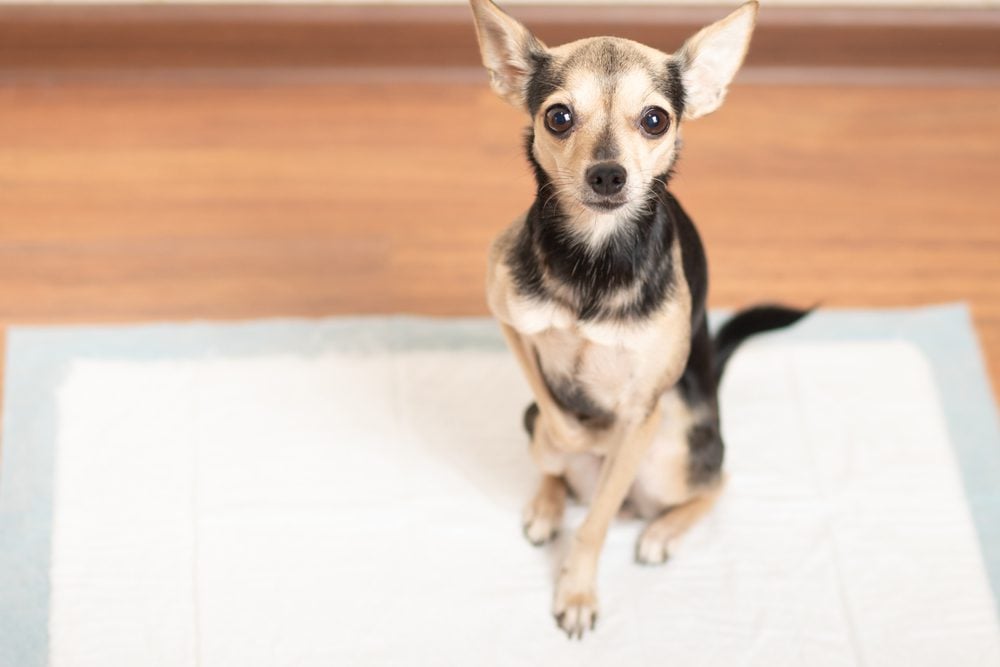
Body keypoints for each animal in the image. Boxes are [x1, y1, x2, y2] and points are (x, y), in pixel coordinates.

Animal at [472, 0, 808, 640]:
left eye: (655, 120)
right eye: (558, 118)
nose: (608, 174)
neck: (594, 258)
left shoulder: (642, 410)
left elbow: (598, 520)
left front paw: (576, 591)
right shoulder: (509, 320)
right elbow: (560, 418)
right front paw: (580, 436)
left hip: (674, 446)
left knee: (715, 481)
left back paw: (660, 531)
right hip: (535, 421)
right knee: (550, 453)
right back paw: (547, 504)